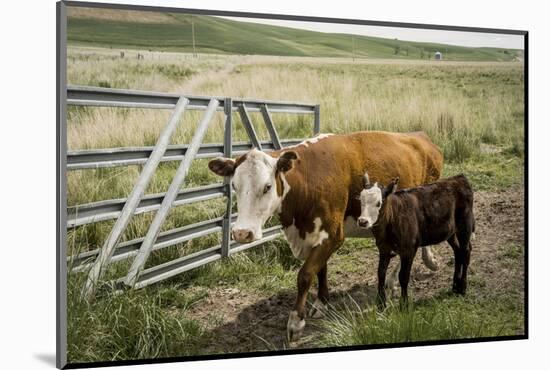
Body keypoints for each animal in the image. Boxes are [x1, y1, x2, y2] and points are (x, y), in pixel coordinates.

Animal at [207, 130, 444, 342]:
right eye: (234, 185)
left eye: (267, 187)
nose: (242, 233)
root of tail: (419, 136)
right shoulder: (315, 237)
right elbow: (321, 270)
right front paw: (322, 302)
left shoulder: (333, 235)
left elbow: (305, 275)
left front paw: (296, 322)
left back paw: (421, 265)